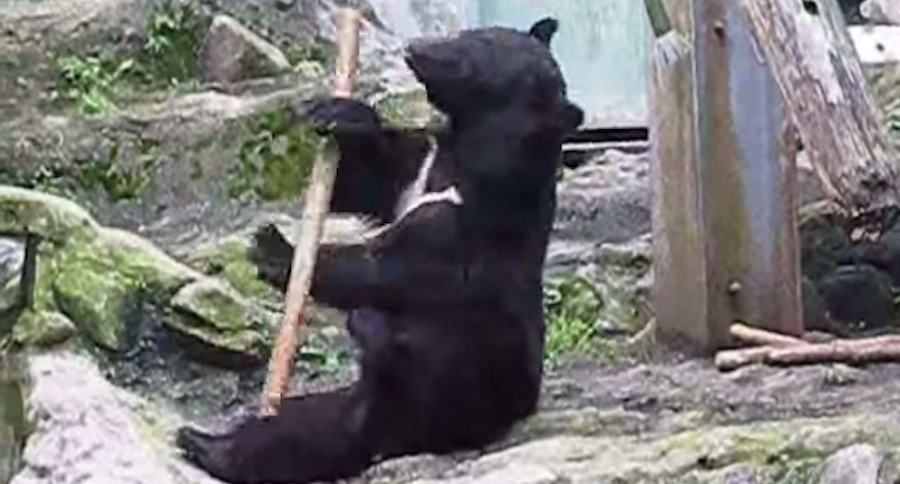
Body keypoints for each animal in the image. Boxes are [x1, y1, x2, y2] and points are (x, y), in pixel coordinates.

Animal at [176, 17, 584, 484]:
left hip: (487, 360)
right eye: (469, 33)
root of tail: (391, 432)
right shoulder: (422, 170)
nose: (415, 48)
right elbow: (375, 176)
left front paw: (275, 248)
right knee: (298, 432)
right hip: (351, 405)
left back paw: (376, 334)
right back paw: (204, 442)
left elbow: (394, 266)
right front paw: (336, 113)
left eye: (475, 46)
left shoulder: (475, 223)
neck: (473, 156)